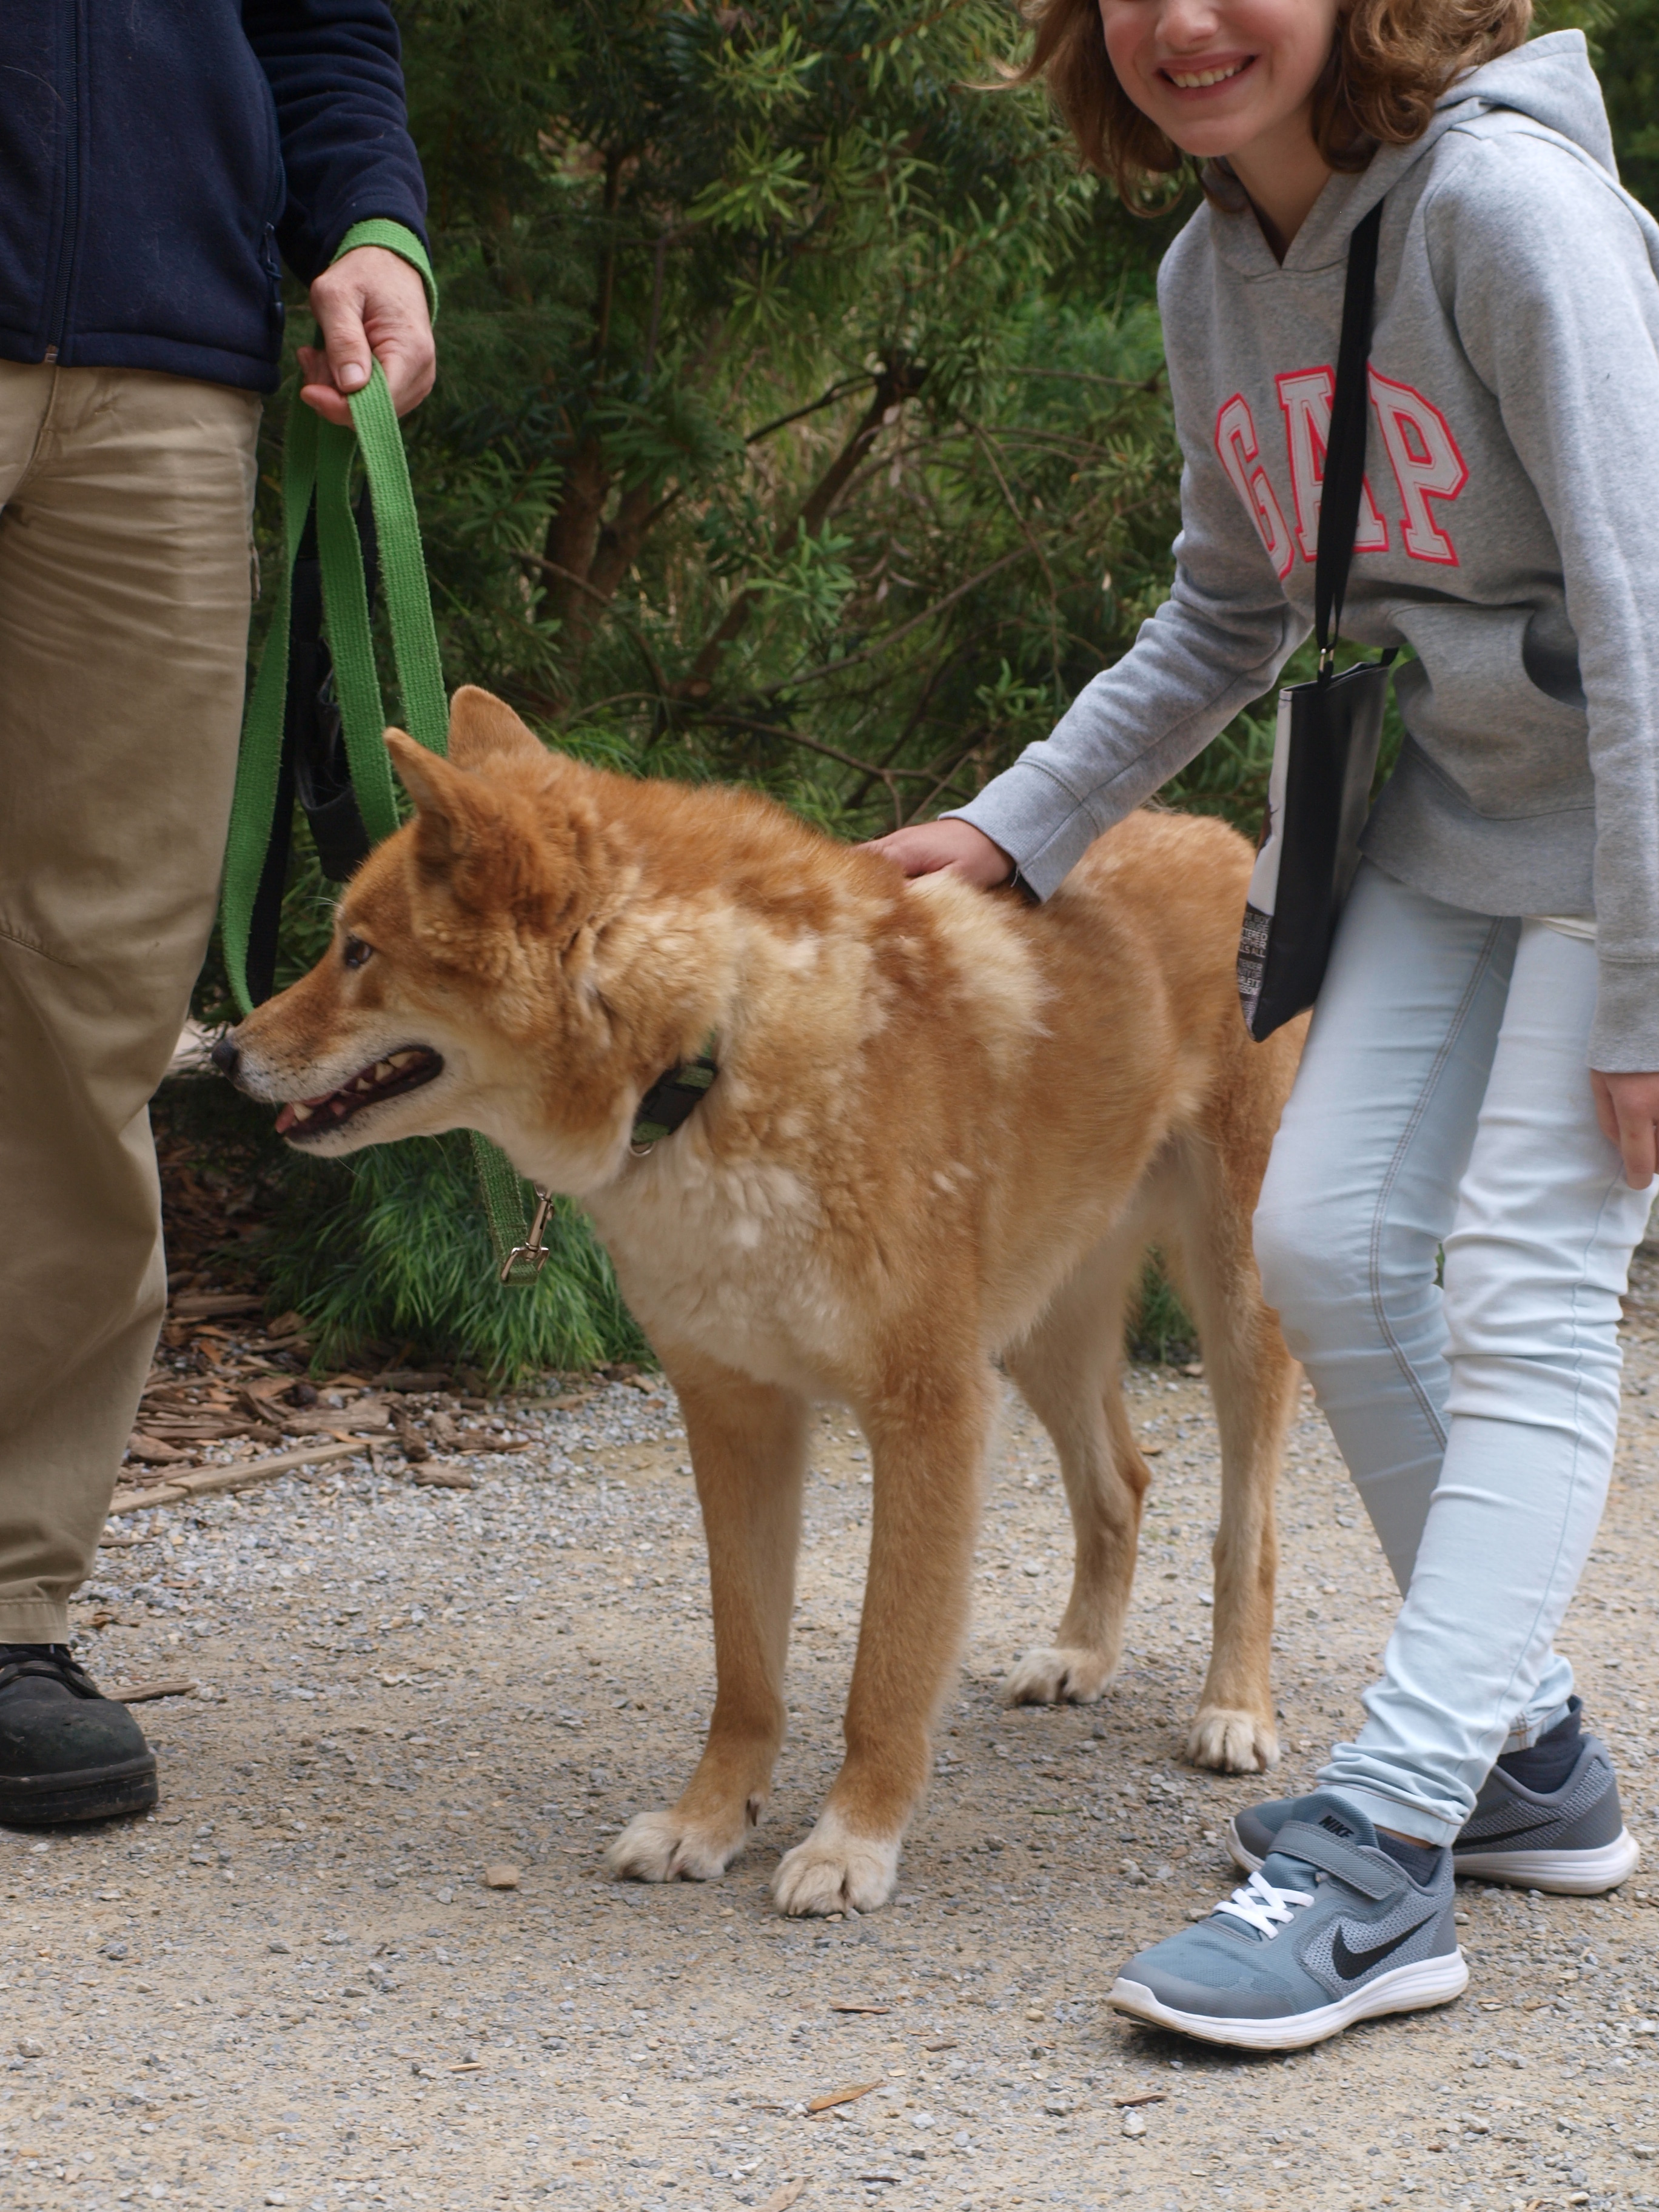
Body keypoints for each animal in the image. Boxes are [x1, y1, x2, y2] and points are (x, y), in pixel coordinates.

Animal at [216, 686, 1304, 1917]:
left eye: (358, 950)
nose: (224, 1052)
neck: (716, 1050)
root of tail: (1220, 838)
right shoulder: (735, 1414)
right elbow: (746, 1671)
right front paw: (709, 1819)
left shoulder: (928, 1414)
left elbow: (886, 1670)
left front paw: (852, 1838)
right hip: (1043, 1331)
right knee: (1119, 1482)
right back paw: (1083, 1655)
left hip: (1239, 1305)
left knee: (1246, 1530)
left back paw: (1234, 1707)